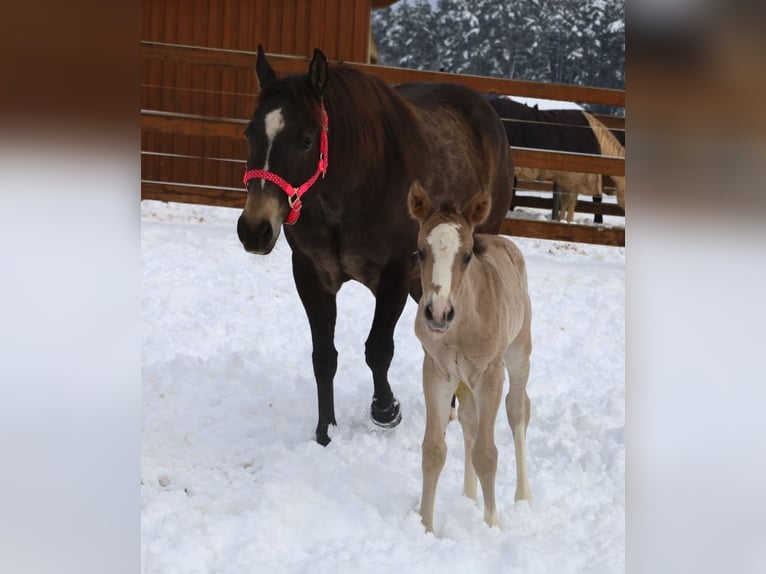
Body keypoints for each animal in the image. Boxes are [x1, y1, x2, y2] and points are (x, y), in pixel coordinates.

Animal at [237, 46, 514, 446]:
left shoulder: (394, 273)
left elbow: (378, 349)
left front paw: (386, 411)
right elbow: (324, 356)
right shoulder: (310, 273)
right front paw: (325, 432)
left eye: (306, 140)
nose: (254, 229)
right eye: (249, 133)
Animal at [407, 182, 533, 533]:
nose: (438, 313)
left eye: (466, 256)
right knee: (469, 420)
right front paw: (425, 527)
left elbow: (486, 454)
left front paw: (493, 527)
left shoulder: (490, 374)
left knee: (518, 409)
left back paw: (523, 498)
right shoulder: (436, 372)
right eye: (420, 252)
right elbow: (433, 450)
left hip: (519, 353)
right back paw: (469, 497)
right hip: (464, 380)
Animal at [487, 95, 625, 219]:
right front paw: (567, 223)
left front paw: (560, 220)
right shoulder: (576, 179)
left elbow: (564, 203)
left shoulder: (566, 179)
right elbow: (571, 204)